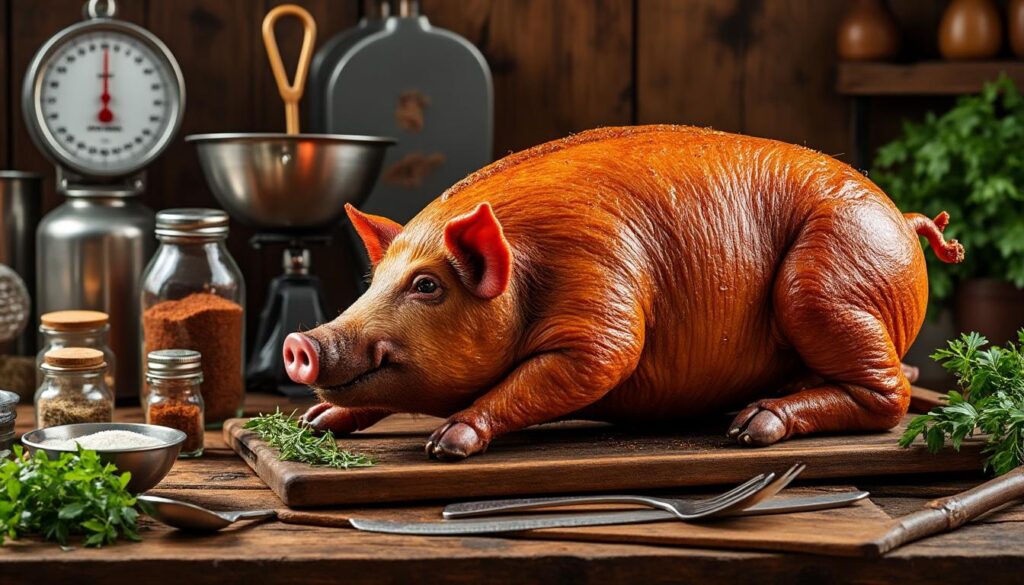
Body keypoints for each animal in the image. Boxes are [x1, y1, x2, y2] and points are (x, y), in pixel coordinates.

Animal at [282, 125, 964, 461]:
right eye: (374, 283)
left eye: (427, 285)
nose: (302, 342)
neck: (529, 271)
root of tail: (904, 218)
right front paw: (316, 424)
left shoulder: (601, 309)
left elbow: (584, 368)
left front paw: (446, 443)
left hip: (824, 286)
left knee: (893, 397)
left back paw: (749, 428)